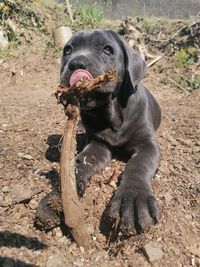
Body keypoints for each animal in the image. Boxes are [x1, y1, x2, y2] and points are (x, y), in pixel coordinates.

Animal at [35, 29, 161, 237]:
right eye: (67, 50)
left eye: (107, 49)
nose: (76, 64)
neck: (111, 114)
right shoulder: (98, 144)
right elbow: (80, 161)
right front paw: (57, 198)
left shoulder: (148, 144)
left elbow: (138, 164)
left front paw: (133, 198)